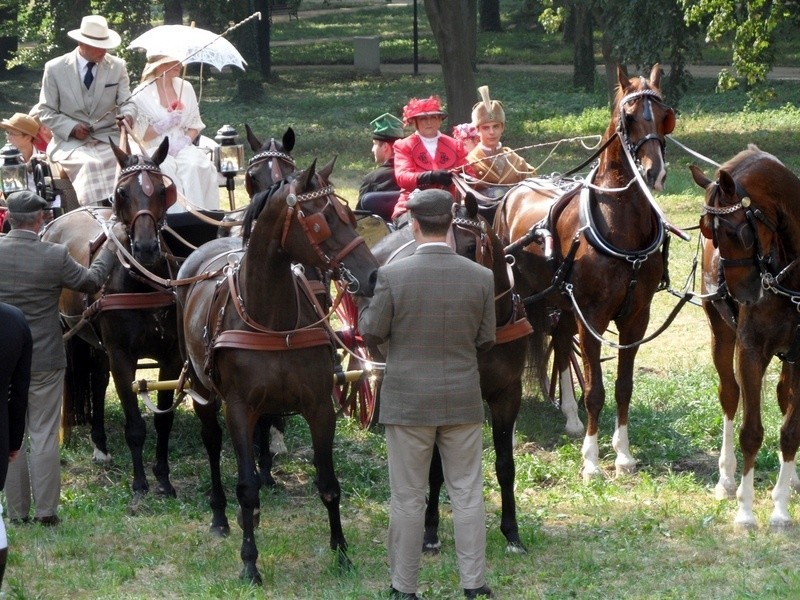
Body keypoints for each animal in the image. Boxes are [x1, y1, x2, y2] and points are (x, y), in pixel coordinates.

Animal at [41, 138, 182, 504]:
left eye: (162, 190)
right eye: (121, 193)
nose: (146, 248)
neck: (141, 281)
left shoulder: (172, 357)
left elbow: (164, 421)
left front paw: (164, 479)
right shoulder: (121, 356)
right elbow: (135, 427)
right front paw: (140, 484)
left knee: (98, 380)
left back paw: (100, 443)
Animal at [174, 162, 378, 584]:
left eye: (350, 216)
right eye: (321, 222)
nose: (371, 275)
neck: (272, 320)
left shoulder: (320, 407)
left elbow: (328, 482)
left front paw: (341, 552)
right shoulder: (237, 409)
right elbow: (246, 486)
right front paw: (250, 562)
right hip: (203, 392)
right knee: (213, 445)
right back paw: (221, 516)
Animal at [372, 193, 536, 552]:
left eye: (472, 246)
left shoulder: (508, 394)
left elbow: (505, 465)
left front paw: (512, 532)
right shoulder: (436, 400)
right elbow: (434, 470)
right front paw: (430, 532)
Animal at [494, 64, 676, 482]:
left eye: (665, 116)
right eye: (628, 118)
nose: (654, 172)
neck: (618, 222)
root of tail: (513, 190)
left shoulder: (635, 318)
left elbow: (623, 387)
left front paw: (622, 454)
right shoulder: (591, 315)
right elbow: (595, 390)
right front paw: (591, 462)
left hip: (559, 299)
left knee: (561, 343)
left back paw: (571, 417)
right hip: (518, 296)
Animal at [692, 146, 800, 528]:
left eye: (739, 233)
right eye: (708, 232)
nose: (743, 294)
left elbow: (790, 431)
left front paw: (781, 509)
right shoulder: (751, 351)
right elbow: (751, 432)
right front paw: (746, 510)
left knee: (784, 396)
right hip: (722, 336)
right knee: (729, 395)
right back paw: (727, 479)